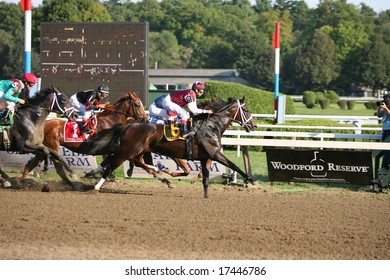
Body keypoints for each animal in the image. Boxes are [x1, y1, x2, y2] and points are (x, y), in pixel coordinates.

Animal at [21, 91, 149, 188]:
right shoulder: (109, 147)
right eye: (138, 105)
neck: (110, 121)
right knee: (58, 168)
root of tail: (43, 124)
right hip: (53, 147)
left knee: (29, 165)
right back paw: (72, 183)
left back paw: (22, 183)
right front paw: (127, 171)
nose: (146, 120)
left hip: (44, 150)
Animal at [93, 97, 258, 198]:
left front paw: (205, 195)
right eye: (246, 110)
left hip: (136, 150)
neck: (211, 125)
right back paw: (96, 186)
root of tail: (129, 125)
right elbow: (234, 165)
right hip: (127, 151)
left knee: (133, 162)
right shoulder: (215, 153)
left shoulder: (205, 157)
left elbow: (204, 176)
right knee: (111, 165)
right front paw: (252, 180)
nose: (254, 126)